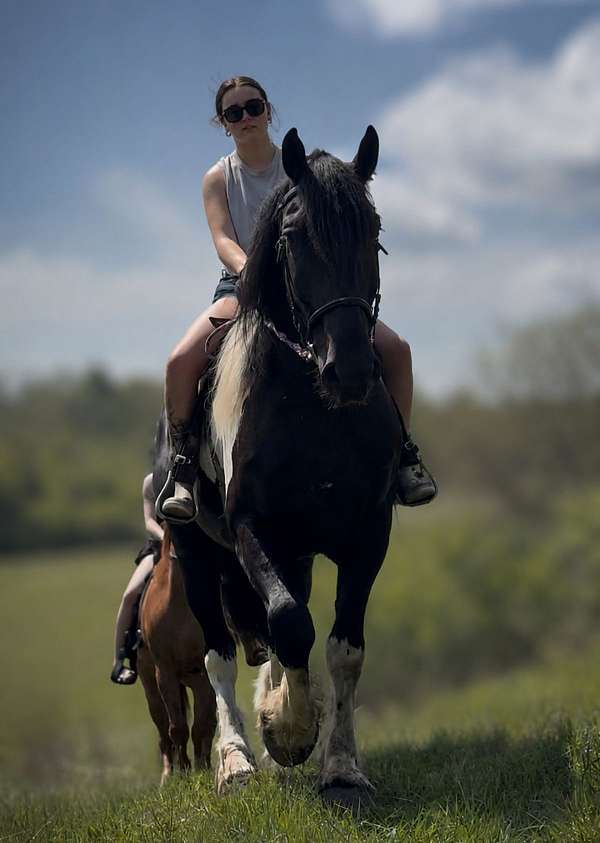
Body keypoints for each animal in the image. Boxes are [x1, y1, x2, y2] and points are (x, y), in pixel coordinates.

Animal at [137, 528, 217, 785]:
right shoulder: (165, 673)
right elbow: (177, 727)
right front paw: (183, 772)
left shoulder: (203, 675)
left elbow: (201, 725)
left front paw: (201, 769)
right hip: (150, 683)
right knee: (163, 726)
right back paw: (168, 773)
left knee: (209, 722)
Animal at [153, 125, 403, 803]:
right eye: (294, 237)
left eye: (372, 231)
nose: (350, 371)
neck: (313, 408)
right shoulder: (250, 529)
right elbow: (290, 624)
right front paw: (288, 731)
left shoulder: (367, 533)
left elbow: (343, 646)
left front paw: (339, 765)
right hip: (196, 554)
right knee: (220, 654)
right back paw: (237, 759)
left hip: (295, 553)